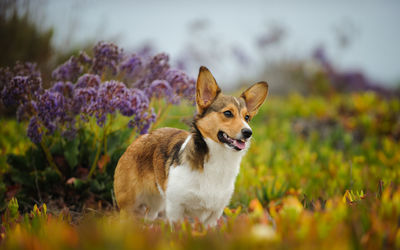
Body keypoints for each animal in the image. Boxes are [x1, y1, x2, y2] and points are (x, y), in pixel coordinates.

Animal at [113, 66, 268, 227]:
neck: (219, 159)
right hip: (129, 206)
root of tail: (140, 138)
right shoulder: (175, 209)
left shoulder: (213, 216)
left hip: (154, 206)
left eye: (247, 117)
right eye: (227, 113)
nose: (248, 132)